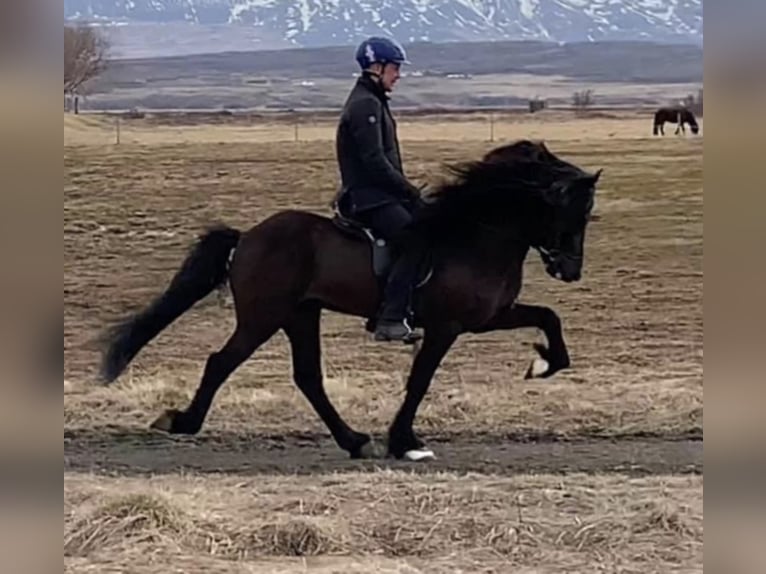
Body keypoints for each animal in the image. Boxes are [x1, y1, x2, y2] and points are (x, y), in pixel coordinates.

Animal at [99, 140, 603, 462]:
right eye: (571, 214)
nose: (571, 270)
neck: (476, 233)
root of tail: (249, 237)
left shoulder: (488, 317)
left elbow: (549, 318)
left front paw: (542, 363)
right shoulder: (446, 327)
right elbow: (419, 381)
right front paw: (405, 441)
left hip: (300, 315)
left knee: (307, 377)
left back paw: (355, 441)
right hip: (263, 317)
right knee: (221, 362)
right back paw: (182, 421)